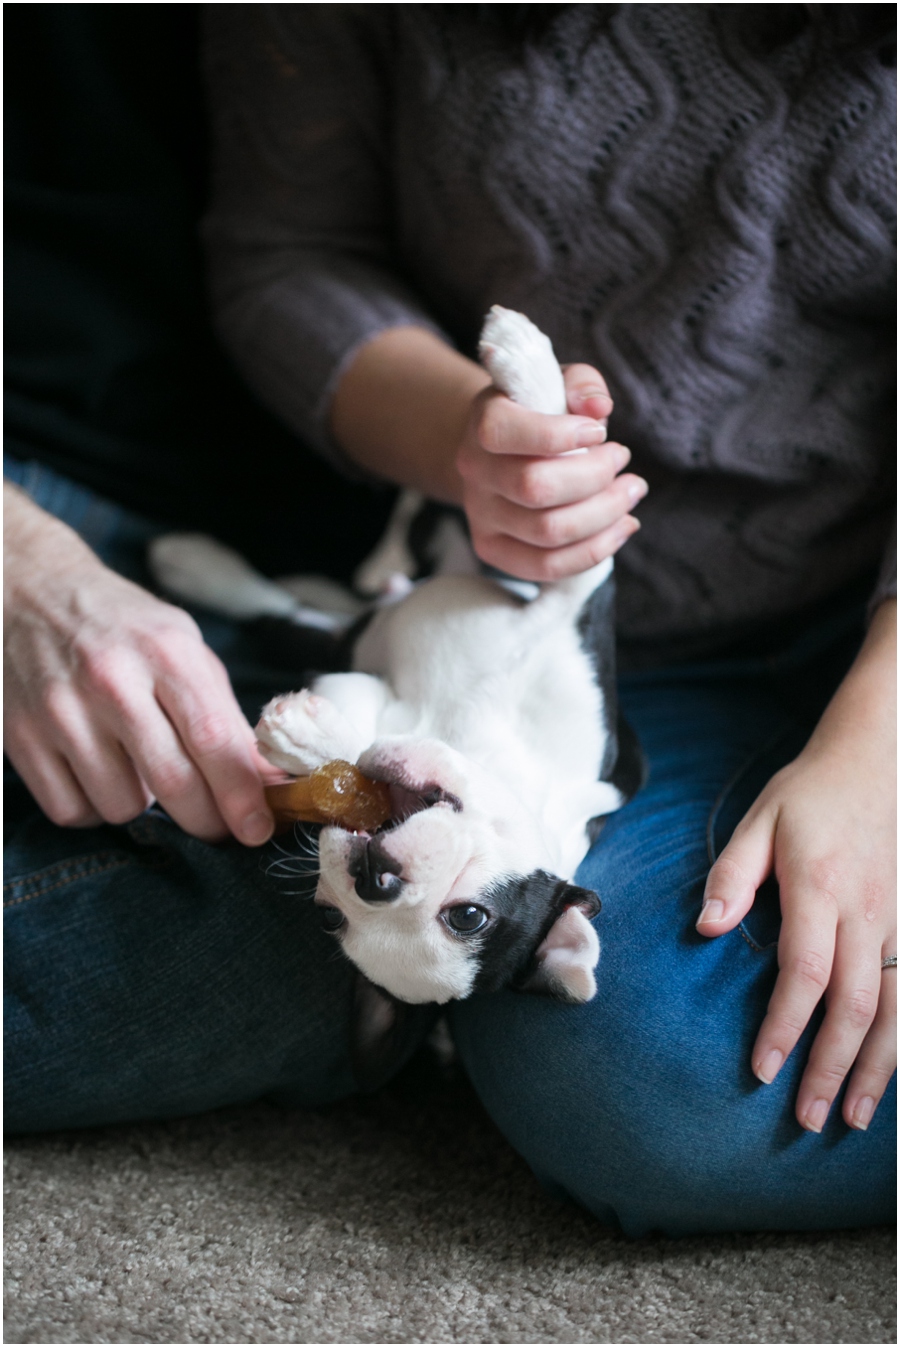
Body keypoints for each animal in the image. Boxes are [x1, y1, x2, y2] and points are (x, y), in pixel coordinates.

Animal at [150, 308, 644, 1018]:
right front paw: (529, 366)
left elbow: (352, 747)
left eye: (465, 918)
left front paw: (308, 735)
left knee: (285, 616)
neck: (474, 740)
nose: (374, 880)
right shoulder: (571, 607)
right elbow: (575, 533)